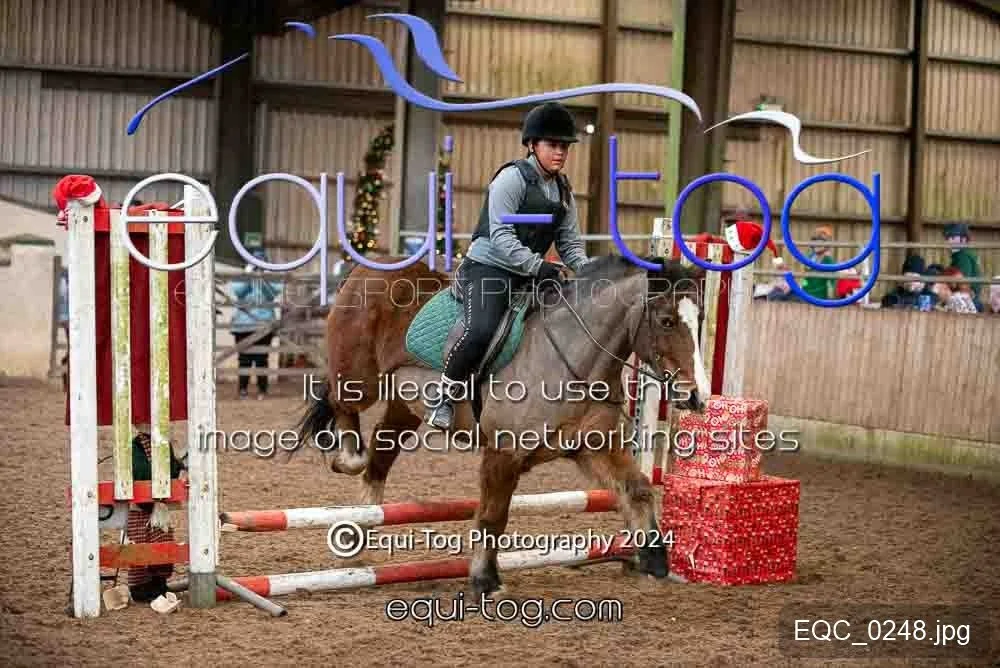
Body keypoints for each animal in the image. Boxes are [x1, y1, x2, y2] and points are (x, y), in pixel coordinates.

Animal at [293, 254, 709, 595]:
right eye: (667, 321)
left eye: (700, 320)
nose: (696, 396)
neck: (573, 357)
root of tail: (367, 268)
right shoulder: (503, 455)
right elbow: (493, 516)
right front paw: (485, 580)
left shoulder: (594, 447)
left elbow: (637, 490)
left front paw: (654, 560)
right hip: (359, 379)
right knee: (341, 406)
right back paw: (348, 460)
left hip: (404, 405)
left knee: (380, 456)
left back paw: (355, 538)